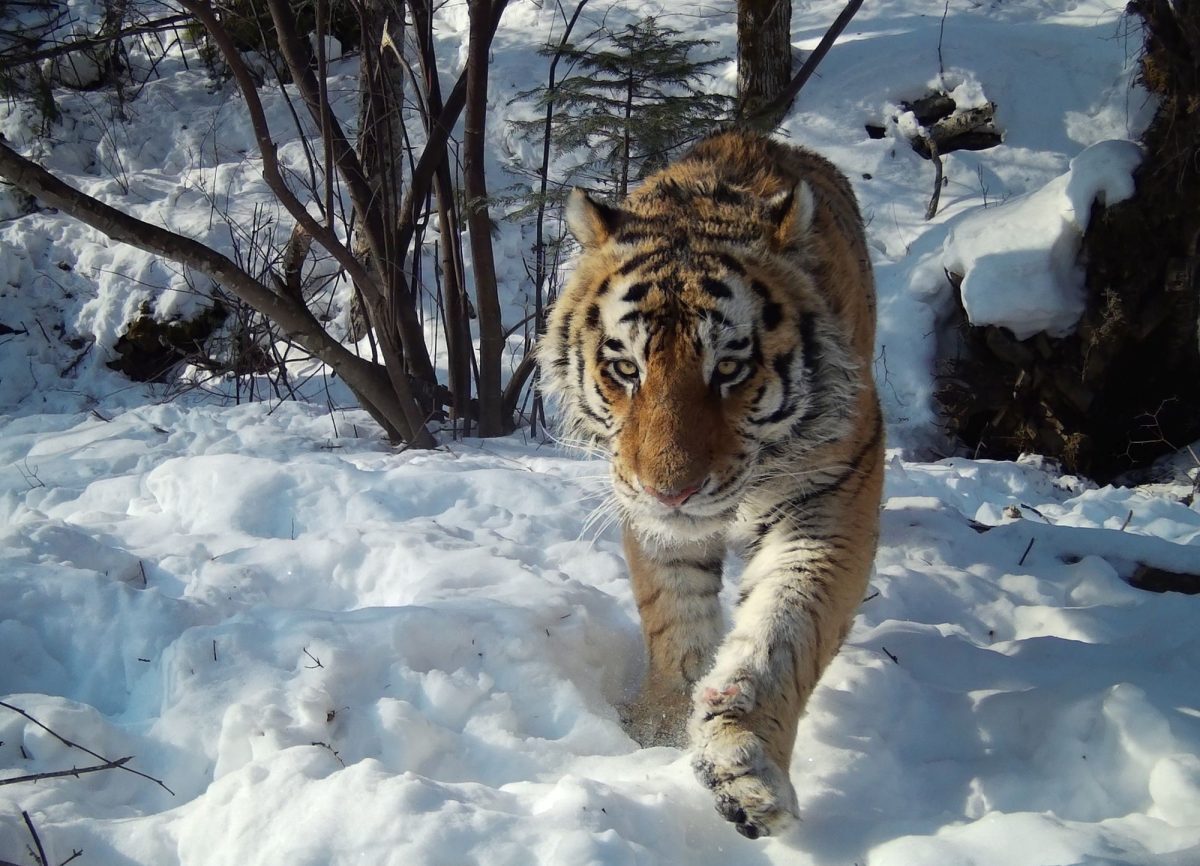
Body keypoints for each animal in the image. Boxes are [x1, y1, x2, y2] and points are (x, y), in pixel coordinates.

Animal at [537, 129, 884, 839]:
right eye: (625, 367)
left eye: (729, 368)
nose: (670, 492)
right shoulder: (646, 514)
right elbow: (673, 615)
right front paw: (660, 731)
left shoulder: (832, 494)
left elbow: (784, 630)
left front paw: (741, 764)